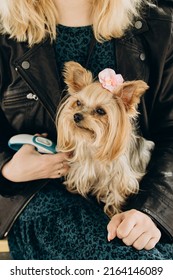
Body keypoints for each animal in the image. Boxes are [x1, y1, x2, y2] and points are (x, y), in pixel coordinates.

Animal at [55, 62, 154, 218]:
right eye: (78, 103)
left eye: (101, 111)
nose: (76, 116)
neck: (95, 145)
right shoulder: (83, 168)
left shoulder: (120, 179)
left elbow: (115, 194)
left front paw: (113, 211)